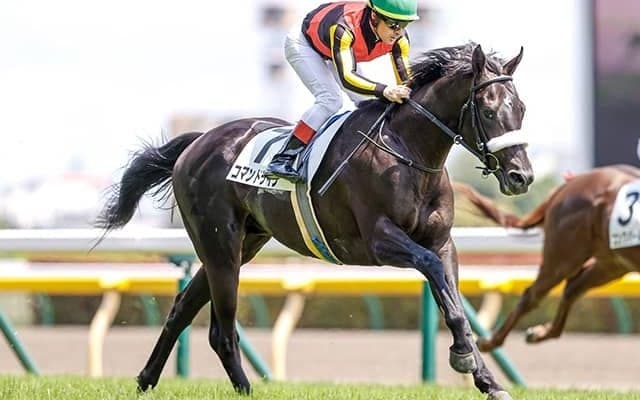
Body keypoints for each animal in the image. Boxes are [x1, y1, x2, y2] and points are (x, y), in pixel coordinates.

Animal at [96, 43, 533, 400]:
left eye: (522, 109)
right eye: (488, 110)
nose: (521, 177)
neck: (407, 152)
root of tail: (199, 141)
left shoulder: (442, 242)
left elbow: (453, 300)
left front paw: (488, 380)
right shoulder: (379, 241)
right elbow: (435, 278)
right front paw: (463, 357)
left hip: (241, 244)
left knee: (183, 309)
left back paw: (146, 380)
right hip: (221, 246)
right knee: (221, 330)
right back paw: (244, 389)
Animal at [457, 165, 640, 351]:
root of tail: (570, 184)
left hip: (612, 264)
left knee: (573, 288)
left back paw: (539, 333)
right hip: (562, 259)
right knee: (532, 295)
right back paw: (490, 342)